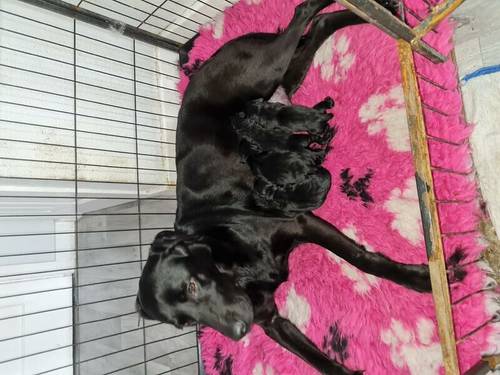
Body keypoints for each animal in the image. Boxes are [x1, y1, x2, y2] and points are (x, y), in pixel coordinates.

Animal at [135, 1, 462, 374]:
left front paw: (422, 280)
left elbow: (362, 259)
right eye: (184, 323)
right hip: (287, 75)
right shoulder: (269, 319)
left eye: (190, 285)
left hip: (265, 67)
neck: (228, 260)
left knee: (302, 17)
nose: (239, 330)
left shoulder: (300, 222)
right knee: (317, 27)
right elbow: (318, 362)